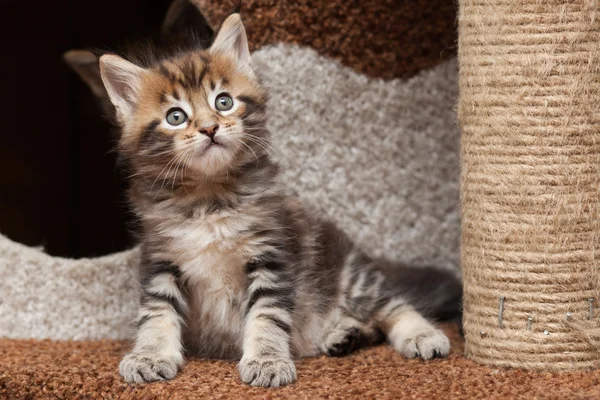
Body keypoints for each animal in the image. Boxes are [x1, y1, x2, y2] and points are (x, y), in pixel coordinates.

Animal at [99, 13, 464, 388]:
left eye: (223, 102)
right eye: (176, 117)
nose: (210, 128)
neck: (209, 197)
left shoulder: (271, 255)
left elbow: (266, 315)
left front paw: (267, 360)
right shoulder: (160, 259)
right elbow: (156, 313)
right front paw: (151, 355)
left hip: (350, 276)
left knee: (394, 305)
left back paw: (420, 334)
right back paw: (342, 334)